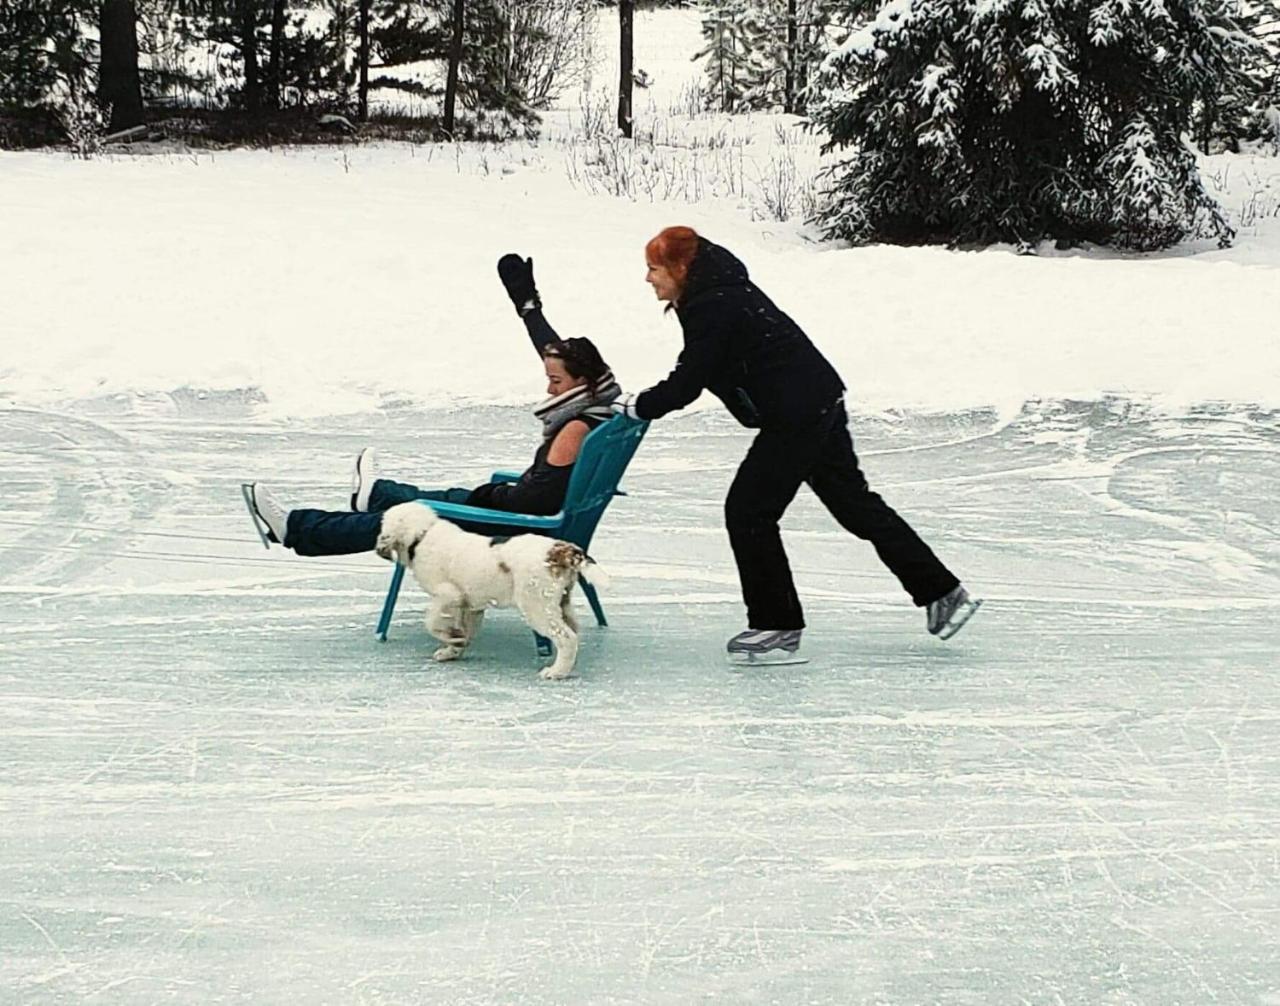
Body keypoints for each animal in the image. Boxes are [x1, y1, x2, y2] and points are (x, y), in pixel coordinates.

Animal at [373, 501, 604, 680]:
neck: (422, 535)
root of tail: (562, 550)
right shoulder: (470, 606)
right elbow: (465, 630)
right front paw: (453, 648)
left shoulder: (448, 594)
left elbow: (432, 621)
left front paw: (450, 637)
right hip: (562, 603)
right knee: (574, 632)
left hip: (537, 606)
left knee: (567, 638)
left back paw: (556, 672)